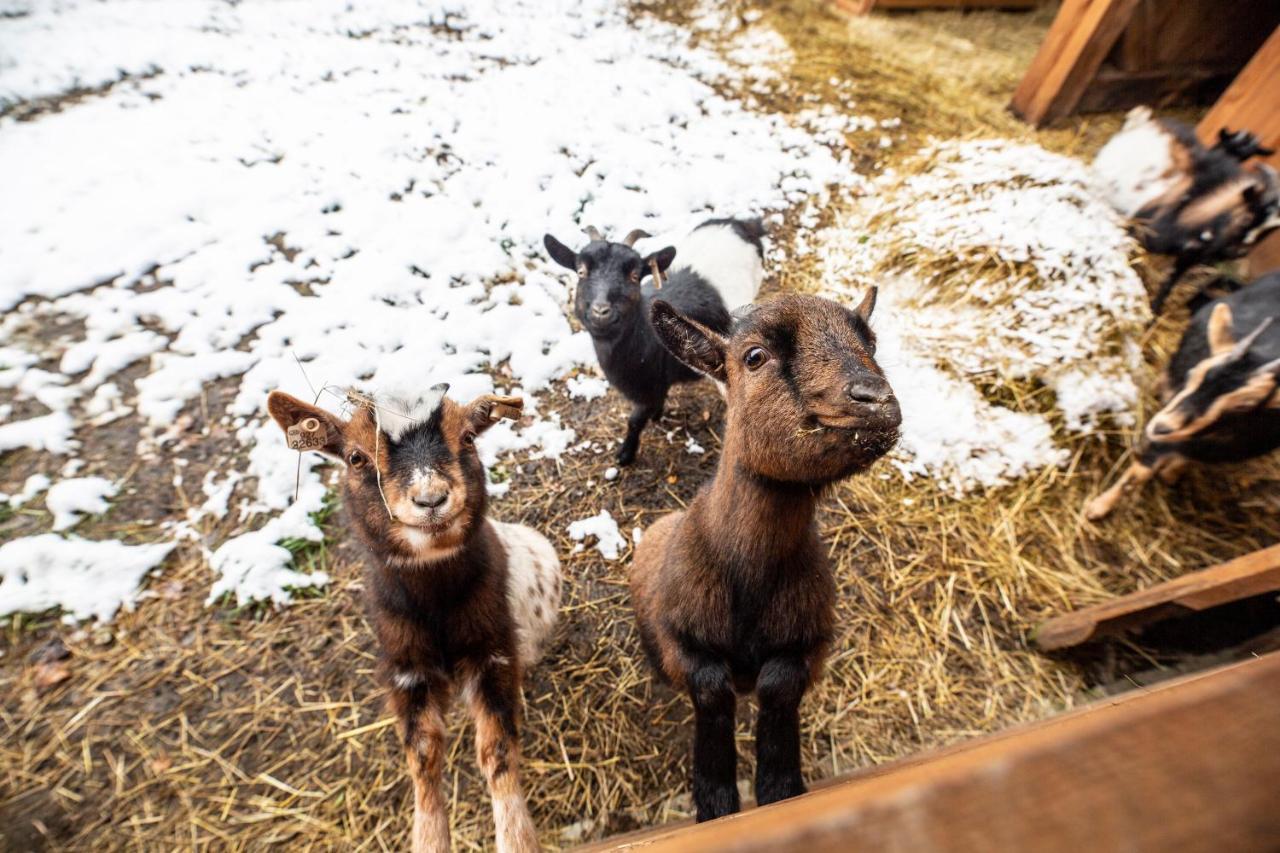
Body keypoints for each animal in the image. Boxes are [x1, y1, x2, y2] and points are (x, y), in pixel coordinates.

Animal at [266, 386, 560, 850]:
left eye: (469, 438)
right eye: (355, 457)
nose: (431, 499)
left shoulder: (492, 650)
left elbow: (496, 749)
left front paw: (517, 839)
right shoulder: (407, 668)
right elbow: (423, 754)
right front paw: (430, 839)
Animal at [545, 216, 762, 461]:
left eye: (634, 276)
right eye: (581, 272)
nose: (601, 311)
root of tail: (741, 222)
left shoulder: (648, 390)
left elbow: (635, 421)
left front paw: (625, 454)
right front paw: (657, 416)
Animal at [629, 290, 901, 819]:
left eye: (871, 341)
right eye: (754, 356)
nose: (876, 400)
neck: (747, 576)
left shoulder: (809, 644)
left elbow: (779, 687)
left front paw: (778, 785)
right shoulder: (680, 639)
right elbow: (712, 691)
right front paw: (716, 799)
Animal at [1090, 106, 1280, 312]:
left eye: (1270, 230)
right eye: (1248, 217)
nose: (1240, 252)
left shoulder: (1190, 255)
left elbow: (1170, 282)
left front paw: (1155, 310)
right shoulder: (1145, 234)